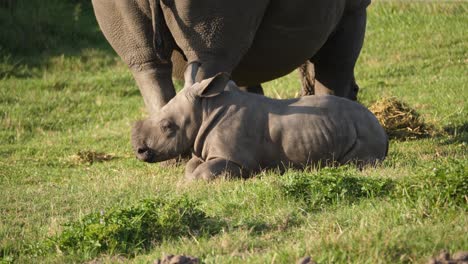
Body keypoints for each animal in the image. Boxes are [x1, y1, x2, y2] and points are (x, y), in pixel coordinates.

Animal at [132, 72, 388, 179]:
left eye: (167, 126)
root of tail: (382, 128)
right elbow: (191, 167)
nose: (139, 151)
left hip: (365, 130)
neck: (205, 109)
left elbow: (201, 173)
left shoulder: (237, 159)